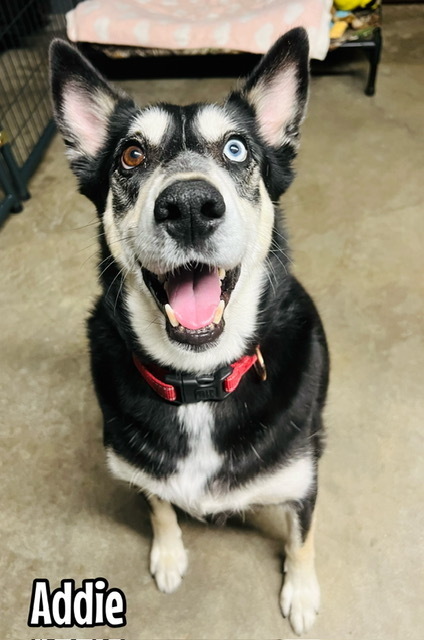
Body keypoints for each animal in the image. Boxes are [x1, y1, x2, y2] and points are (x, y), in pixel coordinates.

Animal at [48, 30, 328, 636]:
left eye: (236, 150)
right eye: (131, 155)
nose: (190, 206)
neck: (199, 380)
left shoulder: (302, 481)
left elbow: (301, 538)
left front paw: (300, 593)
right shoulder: (136, 467)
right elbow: (158, 506)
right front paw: (169, 554)